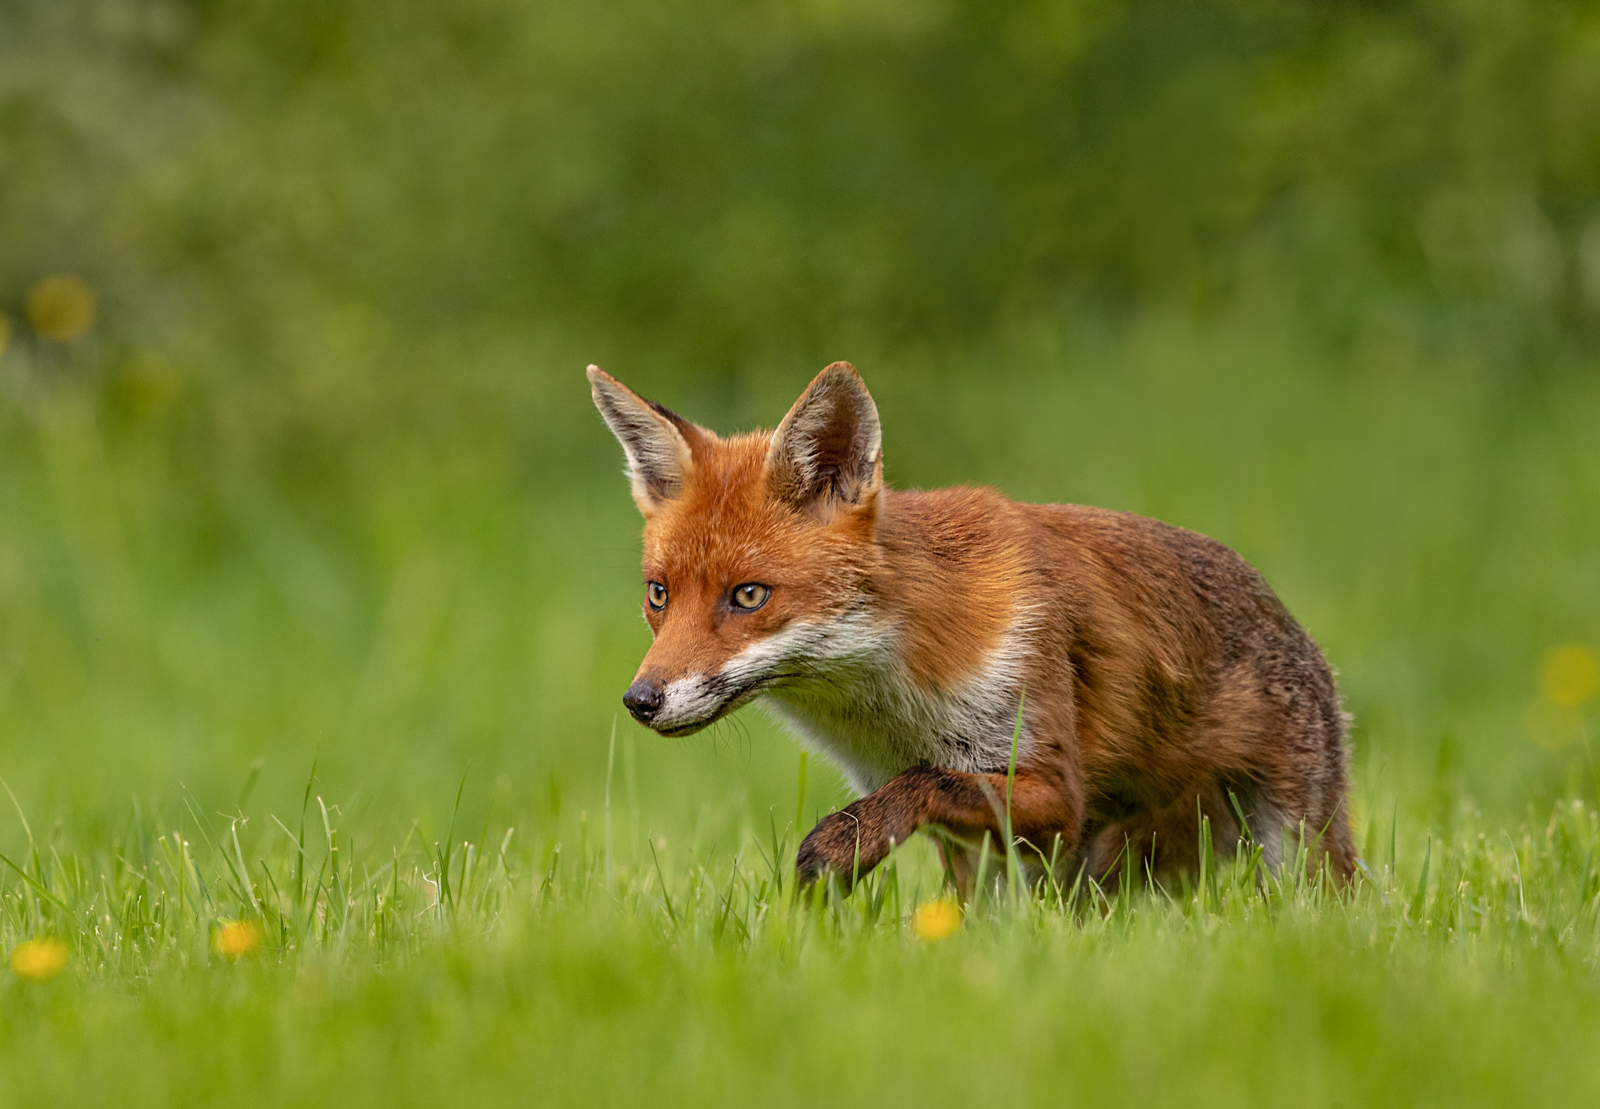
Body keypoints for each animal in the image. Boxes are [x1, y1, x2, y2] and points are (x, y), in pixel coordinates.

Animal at [587, 361, 1355, 892]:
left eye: (748, 595)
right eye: (659, 594)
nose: (640, 701)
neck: (892, 700)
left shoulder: (1051, 783)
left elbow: (928, 781)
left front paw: (839, 847)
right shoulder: (951, 820)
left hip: (1293, 842)